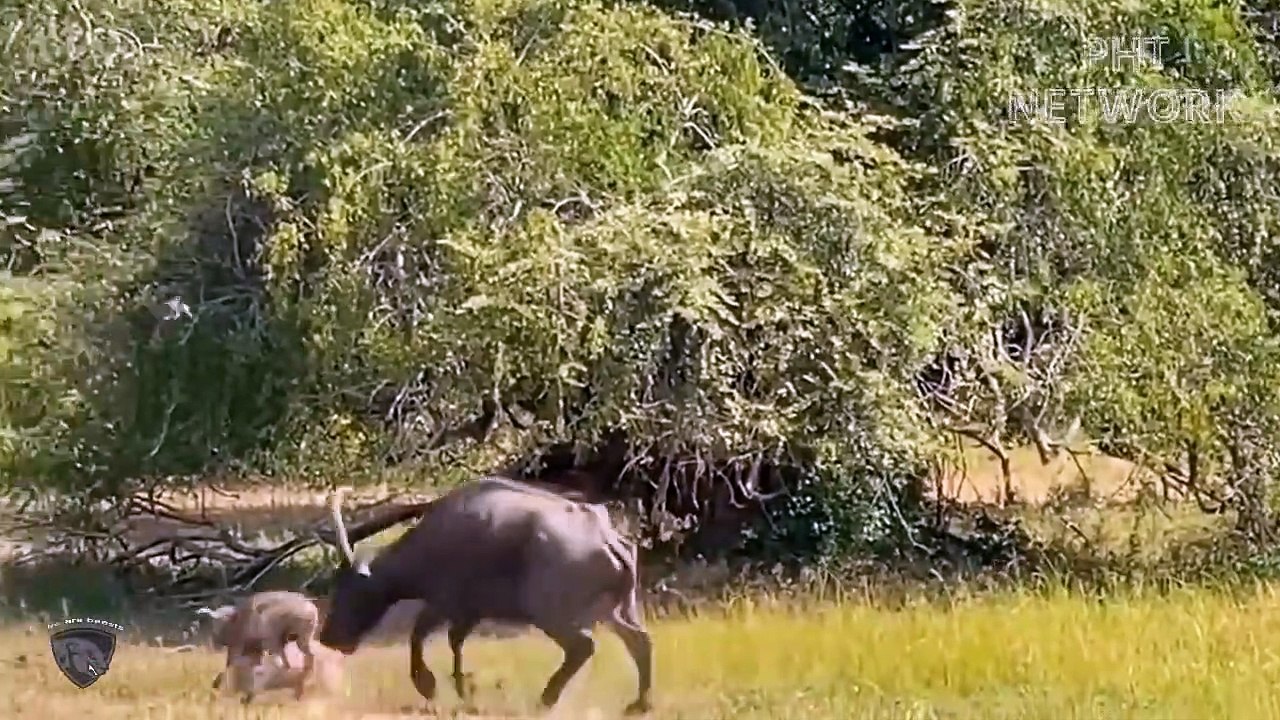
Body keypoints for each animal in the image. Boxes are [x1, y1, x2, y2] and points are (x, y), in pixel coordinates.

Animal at [318, 476, 653, 714]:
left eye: (349, 590)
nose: (327, 638)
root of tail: (608, 540)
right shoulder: (468, 613)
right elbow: (455, 643)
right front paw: (462, 688)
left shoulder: (443, 604)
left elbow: (418, 635)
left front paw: (427, 685)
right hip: (614, 610)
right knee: (639, 640)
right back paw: (639, 703)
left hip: (552, 614)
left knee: (583, 646)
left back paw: (546, 699)